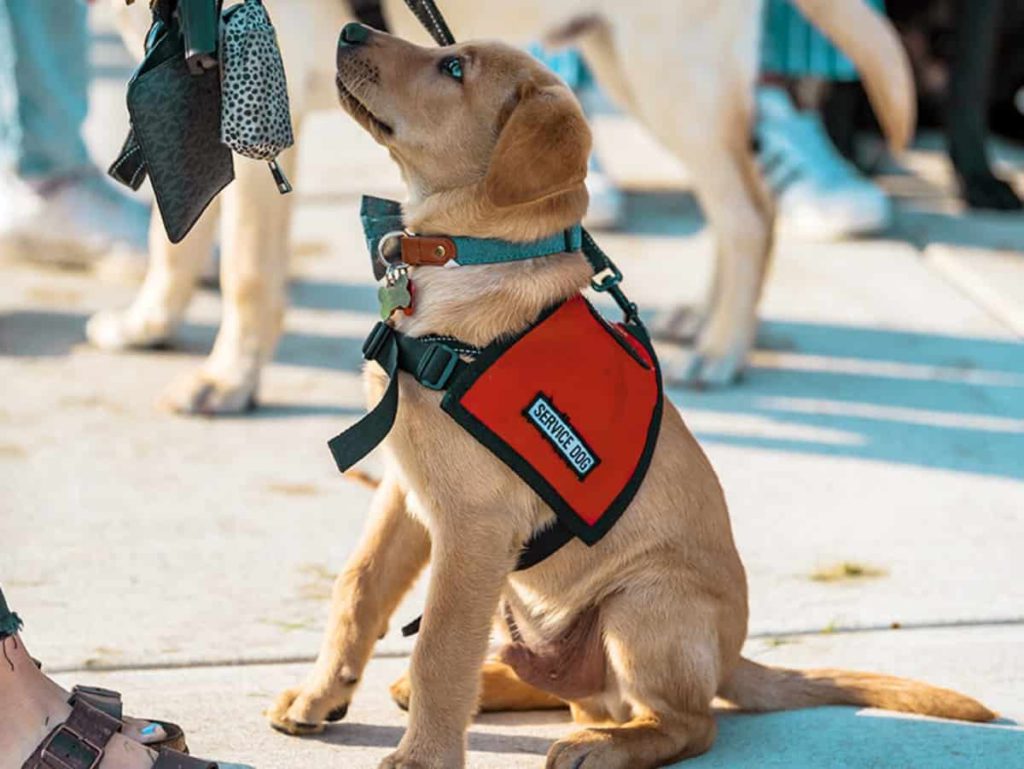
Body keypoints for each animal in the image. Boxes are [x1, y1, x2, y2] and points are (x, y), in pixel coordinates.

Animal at [266, 25, 991, 769]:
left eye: (454, 67)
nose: (350, 29)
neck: (467, 261)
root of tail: (730, 657)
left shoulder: (474, 523)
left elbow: (440, 644)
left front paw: (423, 757)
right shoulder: (406, 489)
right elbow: (359, 587)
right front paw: (322, 694)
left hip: (642, 602)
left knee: (686, 721)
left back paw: (602, 744)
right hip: (533, 609)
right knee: (574, 691)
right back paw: (491, 689)